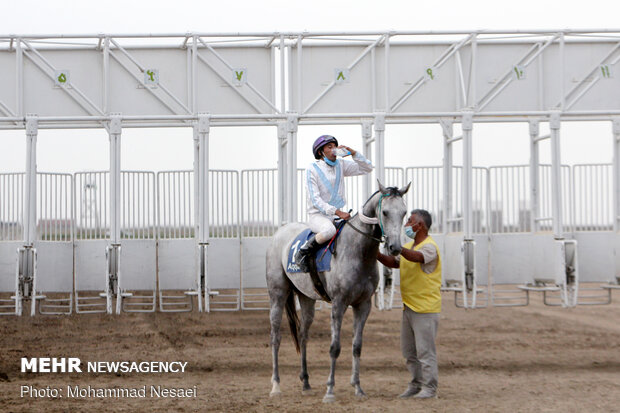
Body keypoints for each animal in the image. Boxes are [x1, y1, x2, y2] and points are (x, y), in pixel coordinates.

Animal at [264, 182, 410, 400]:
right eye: (384, 212)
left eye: (404, 212)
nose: (395, 248)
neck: (358, 252)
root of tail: (280, 231)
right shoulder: (339, 304)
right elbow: (335, 347)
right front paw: (330, 390)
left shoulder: (363, 305)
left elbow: (357, 347)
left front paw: (358, 387)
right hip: (278, 294)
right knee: (276, 337)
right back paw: (275, 386)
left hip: (306, 298)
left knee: (303, 335)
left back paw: (305, 382)